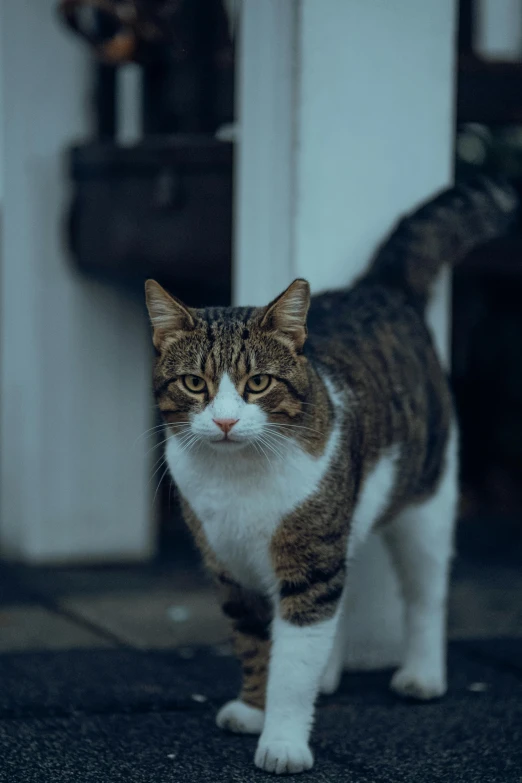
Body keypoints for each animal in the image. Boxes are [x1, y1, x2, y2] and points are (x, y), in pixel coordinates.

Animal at [143, 179, 516, 776]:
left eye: (258, 383)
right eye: (195, 383)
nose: (224, 422)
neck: (239, 474)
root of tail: (381, 288)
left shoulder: (309, 559)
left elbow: (295, 660)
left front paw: (283, 741)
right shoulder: (229, 565)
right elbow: (256, 643)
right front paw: (254, 707)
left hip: (426, 501)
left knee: (425, 592)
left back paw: (422, 675)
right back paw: (332, 675)